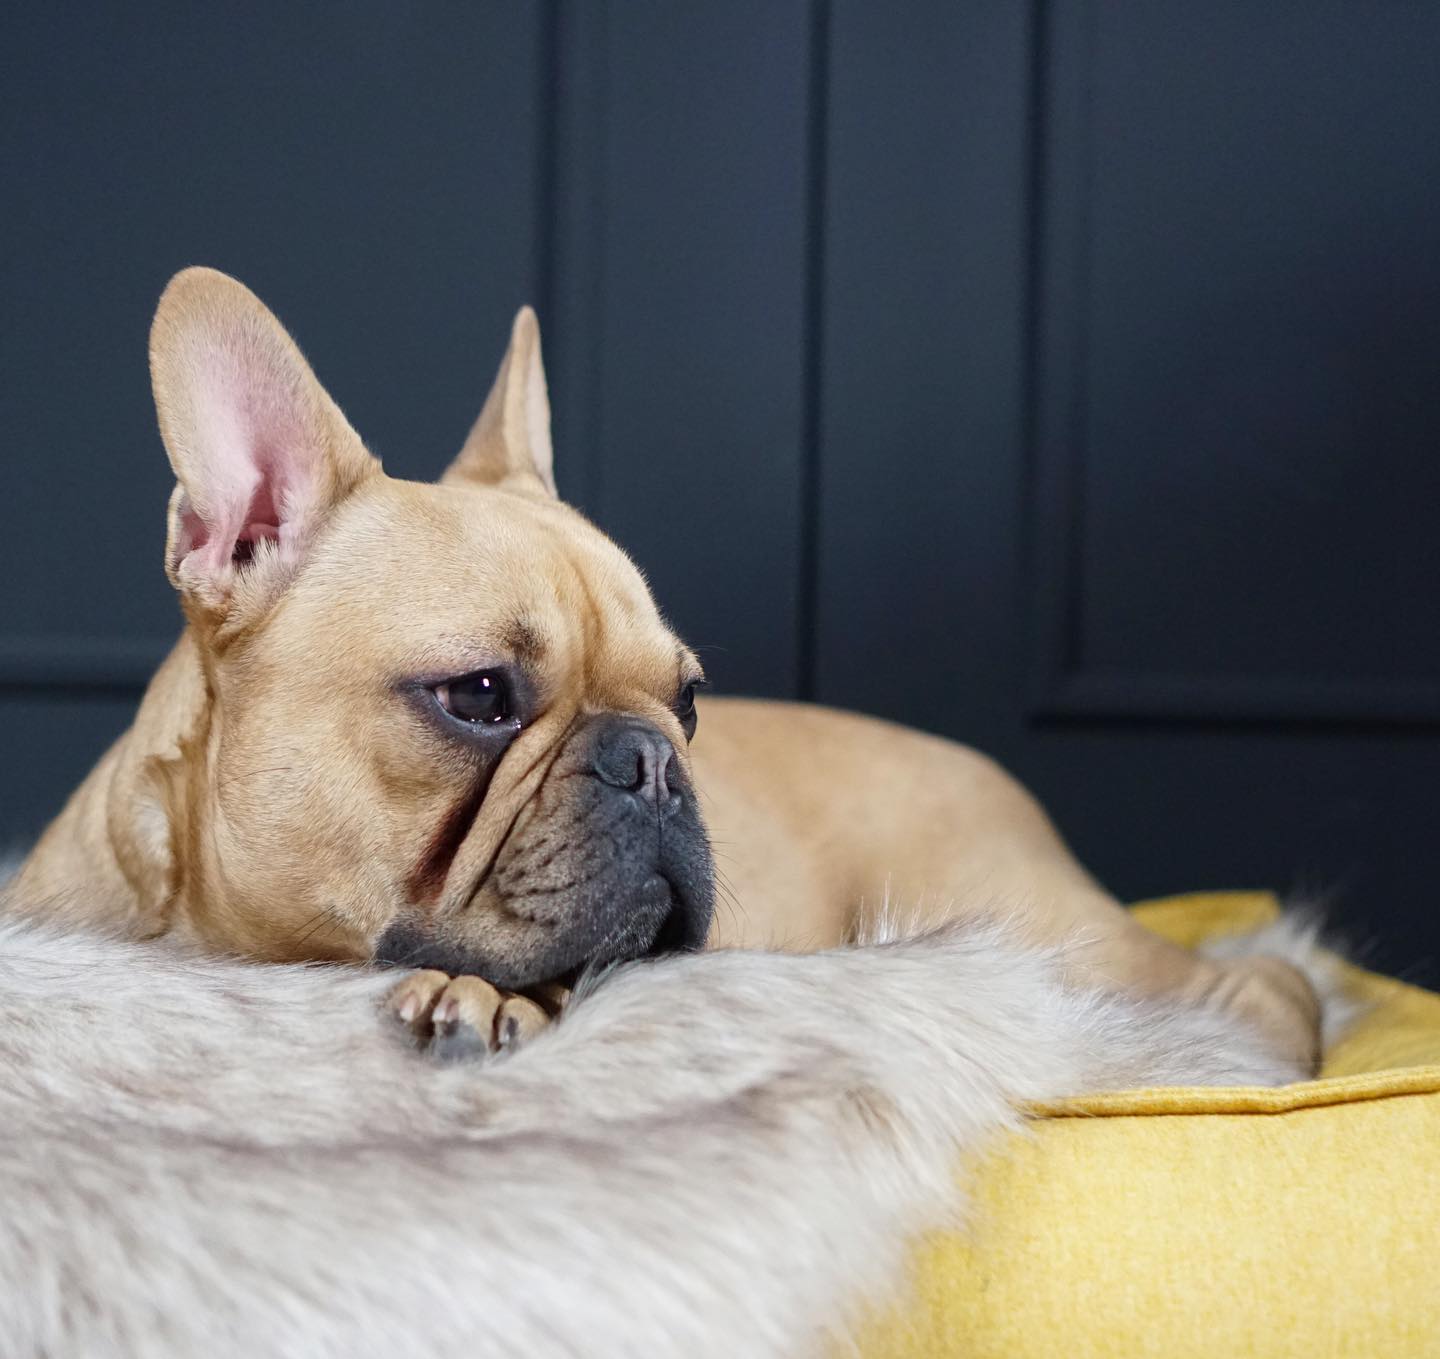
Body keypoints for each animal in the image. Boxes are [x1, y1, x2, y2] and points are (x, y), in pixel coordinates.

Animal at [11, 267, 1319, 1071]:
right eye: (479, 697)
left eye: (687, 701)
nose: (654, 762)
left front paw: (492, 1000)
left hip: (1049, 927)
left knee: (1274, 986)